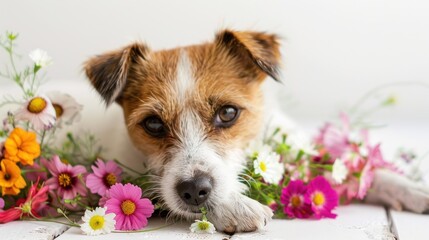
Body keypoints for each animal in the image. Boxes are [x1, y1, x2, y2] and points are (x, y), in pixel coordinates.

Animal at [84, 29, 428, 233]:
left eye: (227, 113)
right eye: (154, 124)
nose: (194, 189)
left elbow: (351, 171)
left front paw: (410, 188)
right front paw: (234, 206)